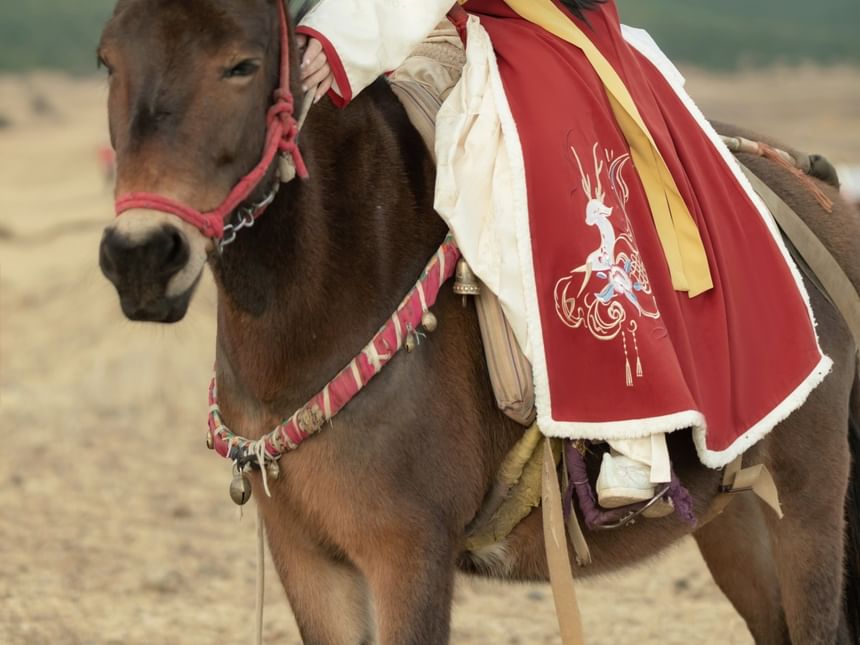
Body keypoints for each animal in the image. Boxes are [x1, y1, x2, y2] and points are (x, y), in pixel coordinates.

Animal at [97, 2, 860, 640]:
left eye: (242, 65)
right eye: (109, 61)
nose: (142, 258)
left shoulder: (408, 553)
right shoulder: (308, 558)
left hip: (809, 499)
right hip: (737, 516)